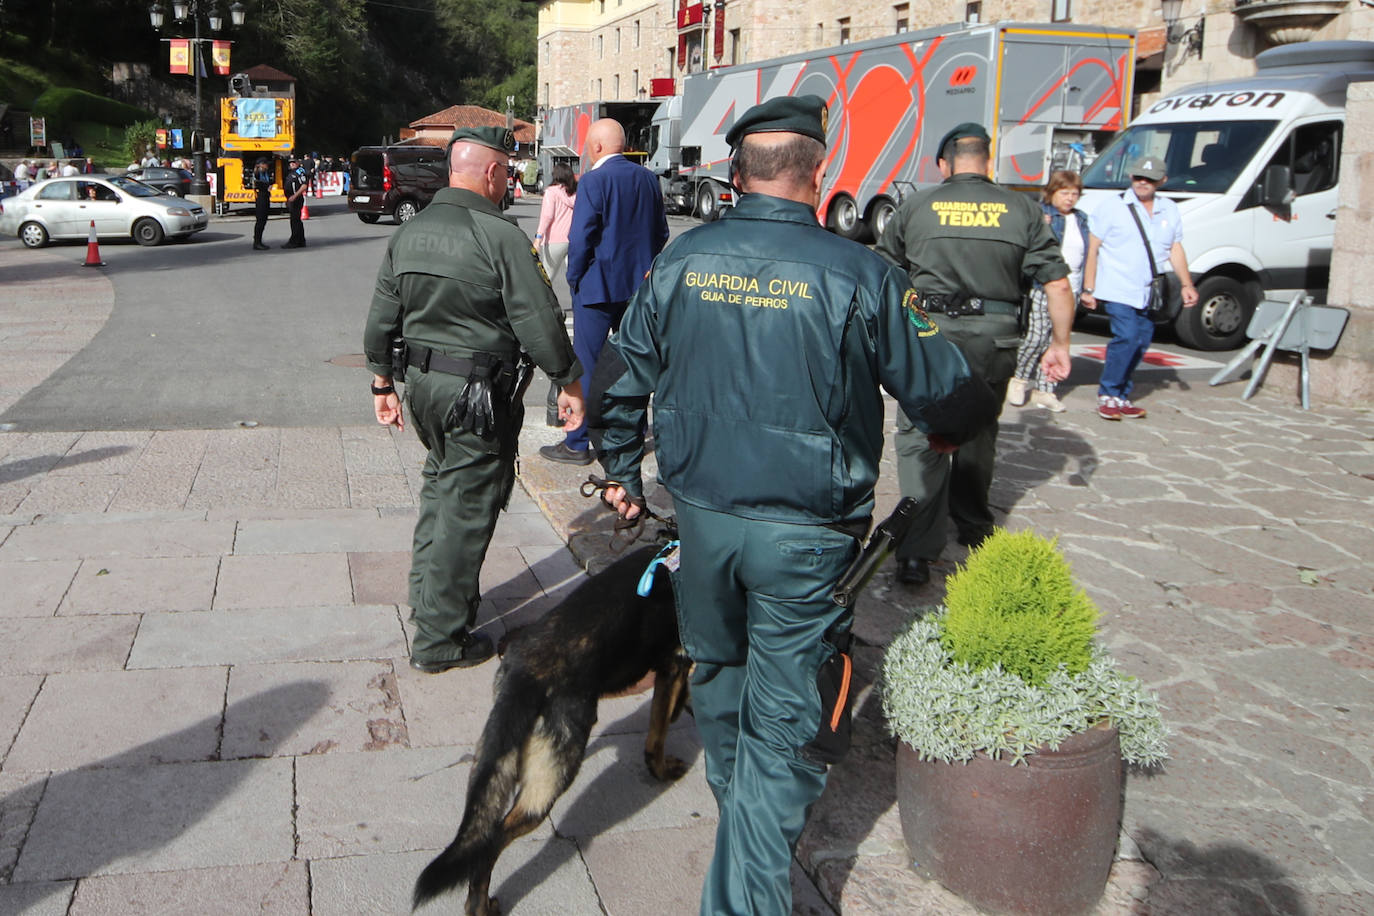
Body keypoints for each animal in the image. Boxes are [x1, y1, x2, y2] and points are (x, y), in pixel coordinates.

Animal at [406, 549, 687, 911]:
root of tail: (526, 673)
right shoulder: (676, 665)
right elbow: (659, 734)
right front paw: (663, 768)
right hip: (550, 782)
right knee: (492, 841)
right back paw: (480, 905)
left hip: (492, 762)